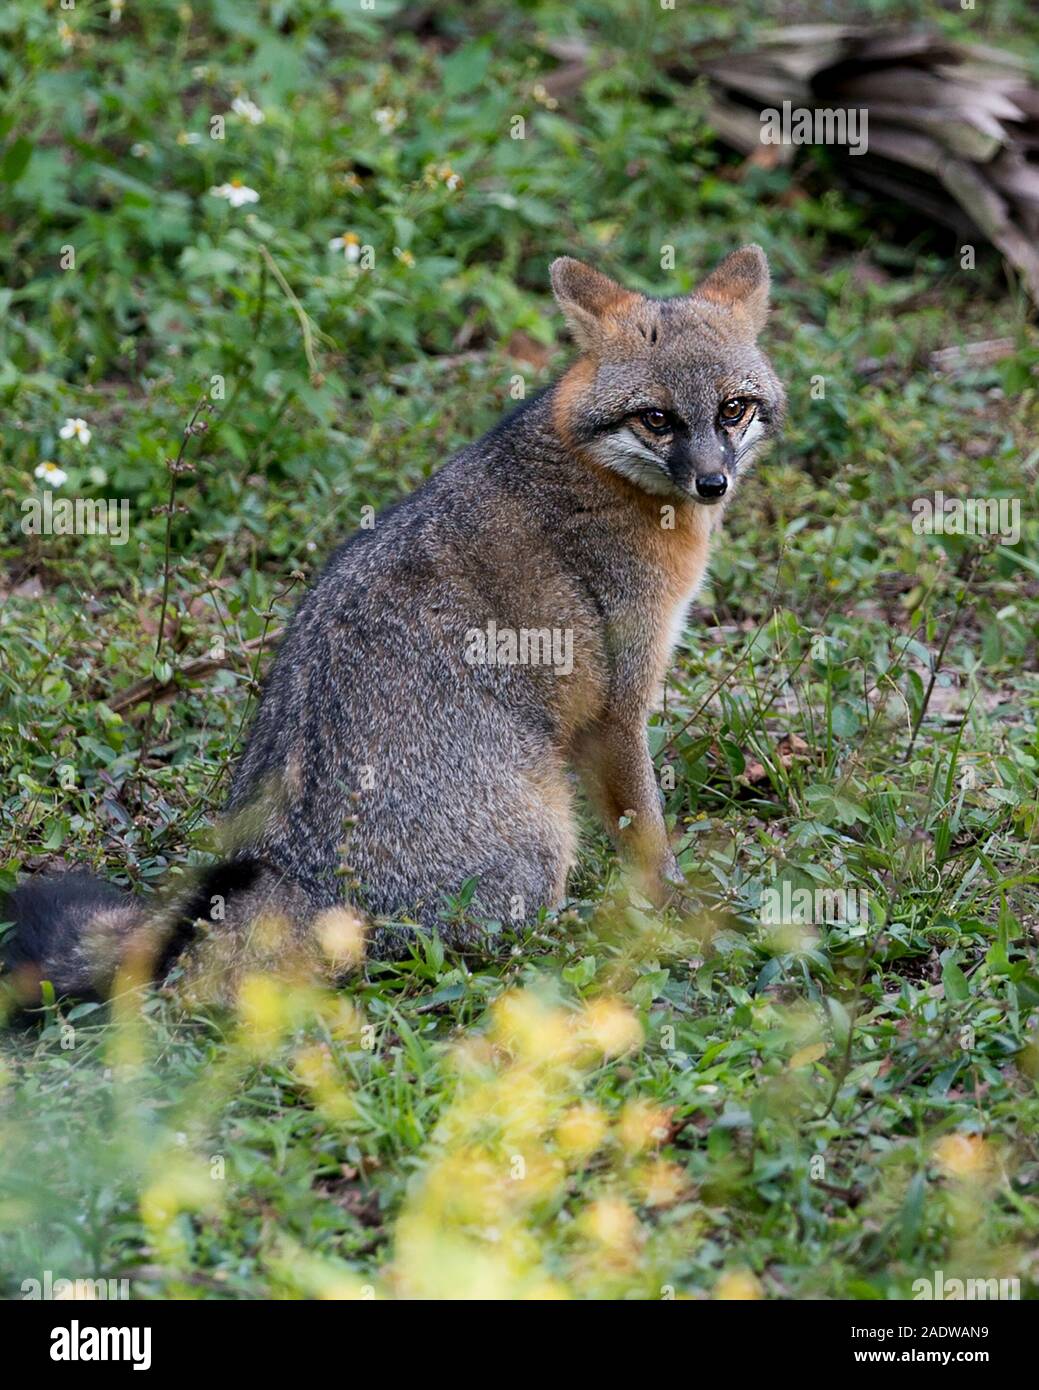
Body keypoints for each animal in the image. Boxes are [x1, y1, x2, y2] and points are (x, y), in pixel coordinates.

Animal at [0, 250, 784, 1006]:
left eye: (733, 410)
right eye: (657, 420)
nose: (712, 483)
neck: (598, 471)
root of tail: (289, 865)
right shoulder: (617, 710)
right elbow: (645, 833)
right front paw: (673, 909)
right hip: (545, 839)